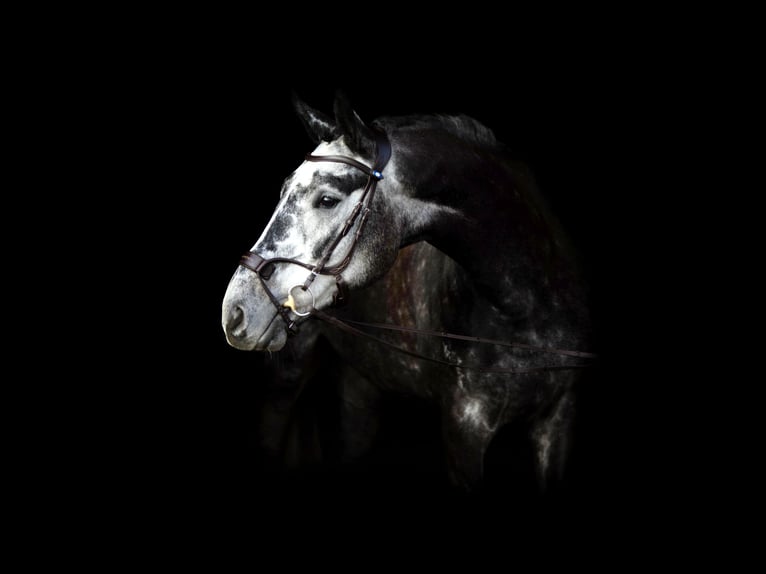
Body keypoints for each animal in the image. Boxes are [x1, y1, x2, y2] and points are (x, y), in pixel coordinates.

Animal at [221, 92, 595, 491]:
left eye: (327, 200)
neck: (524, 307)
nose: (235, 311)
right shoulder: (464, 424)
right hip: (287, 377)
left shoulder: (558, 419)